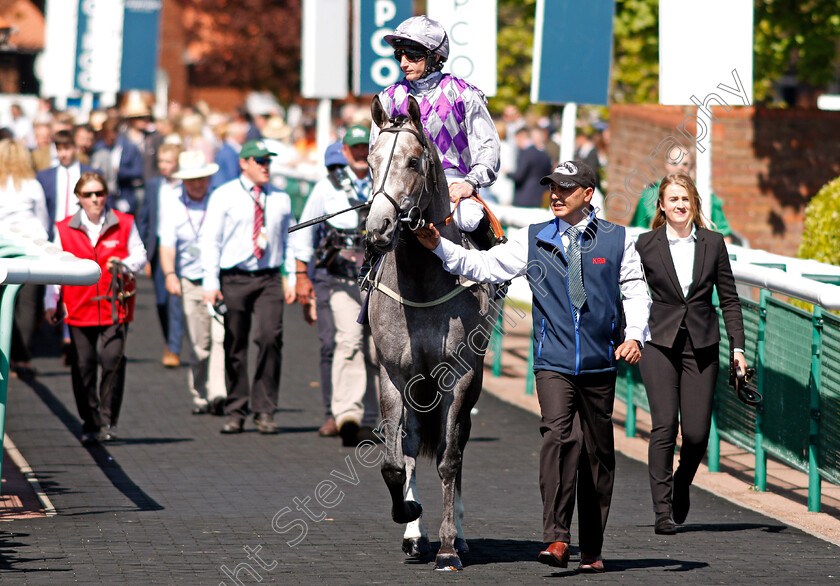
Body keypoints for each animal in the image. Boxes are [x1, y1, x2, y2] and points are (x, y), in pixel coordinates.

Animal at [366, 94, 498, 564]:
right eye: (370, 160)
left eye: (412, 161)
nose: (378, 228)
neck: (422, 283)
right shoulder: (393, 374)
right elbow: (395, 459)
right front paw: (409, 515)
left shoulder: (459, 377)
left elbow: (449, 458)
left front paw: (447, 546)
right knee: (413, 444)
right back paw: (414, 533)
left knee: (454, 445)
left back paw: (457, 536)